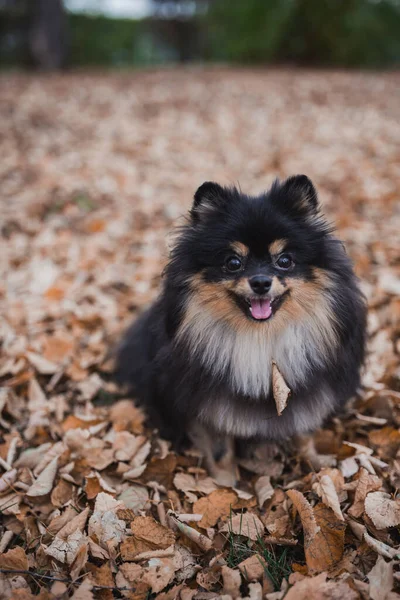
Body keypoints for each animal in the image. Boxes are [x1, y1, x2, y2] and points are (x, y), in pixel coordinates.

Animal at [115, 176, 366, 486]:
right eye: (233, 262)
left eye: (285, 260)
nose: (260, 282)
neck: (260, 337)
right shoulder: (208, 401)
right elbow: (221, 449)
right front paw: (225, 486)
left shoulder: (307, 389)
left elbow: (304, 430)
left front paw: (315, 464)